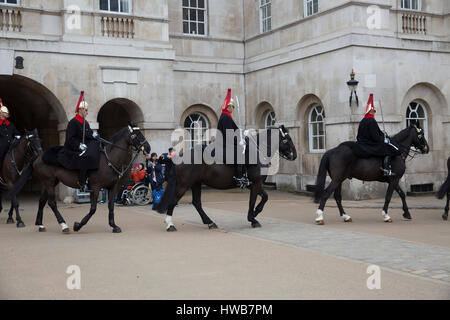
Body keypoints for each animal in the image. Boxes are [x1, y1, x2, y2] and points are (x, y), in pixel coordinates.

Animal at [9, 126, 150, 234]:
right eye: (136, 134)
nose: (148, 148)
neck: (108, 160)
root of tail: (39, 156)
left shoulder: (112, 187)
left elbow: (111, 207)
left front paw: (114, 226)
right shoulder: (95, 187)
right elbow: (93, 209)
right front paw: (78, 225)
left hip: (50, 182)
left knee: (42, 201)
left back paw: (40, 224)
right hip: (49, 182)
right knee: (52, 203)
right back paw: (64, 225)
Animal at [156, 124, 298, 231]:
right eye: (287, 139)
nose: (294, 155)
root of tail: (179, 156)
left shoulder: (254, 184)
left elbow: (265, 197)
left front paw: (255, 213)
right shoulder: (256, 183)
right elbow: (252, 201)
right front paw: (252, 218)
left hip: (196, 183)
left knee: (197, 203)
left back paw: (210, 222)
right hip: (184, 184)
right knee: (174, 201)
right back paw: (170, 225)